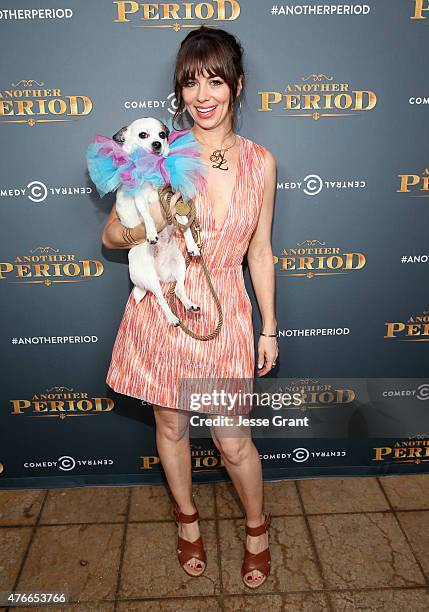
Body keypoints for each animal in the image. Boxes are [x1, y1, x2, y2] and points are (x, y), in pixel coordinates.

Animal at [113, 115, 201, 326]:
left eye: (162, 134)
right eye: (142, 135)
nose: (157, 144)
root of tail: (162, 275)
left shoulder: (172, 197)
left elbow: (183, 221)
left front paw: (192, 244)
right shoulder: (140, 199)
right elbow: (146, 215)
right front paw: (152, 233)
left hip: (180, 265)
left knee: (178, 289)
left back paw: (190, 305)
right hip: (148, 276)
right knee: (160, 297)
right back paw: (172, 317)